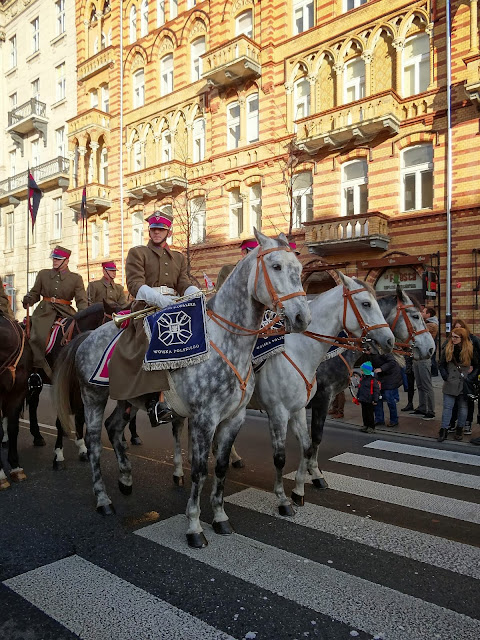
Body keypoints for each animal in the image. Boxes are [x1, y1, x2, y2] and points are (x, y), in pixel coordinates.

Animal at [54, 232, 312, 548]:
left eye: (299, 268)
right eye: (275, 266)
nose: (302, 318)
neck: (226, 342)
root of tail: (88, 335)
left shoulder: (233, 418)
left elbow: (221, 467)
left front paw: (220, 518)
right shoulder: (204, 419)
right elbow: (199, 470)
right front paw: (194, 527)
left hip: (127, 399)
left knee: (114, 428)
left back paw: (126, 479)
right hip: (93, 398)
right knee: (92, 443)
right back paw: (103, 500)